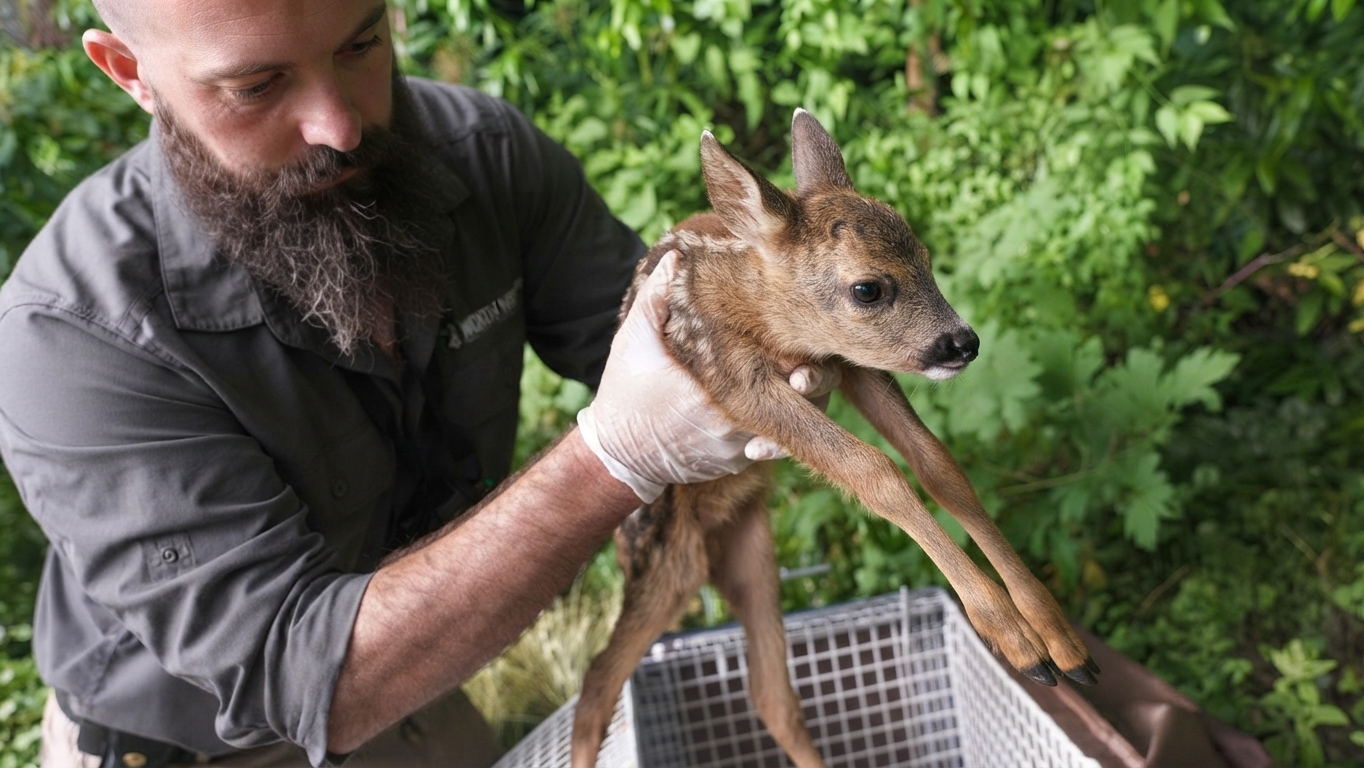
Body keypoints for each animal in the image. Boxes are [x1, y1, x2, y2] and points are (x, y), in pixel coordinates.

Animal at [570, 109, 1099, 768]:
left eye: (926, 257)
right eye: (867, 288)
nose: (962, 343)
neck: (752, 308)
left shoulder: (847, 363)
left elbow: (937, 464)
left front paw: (1061, 643)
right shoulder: (732, 379)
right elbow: (876, 470)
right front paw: (1016, 641)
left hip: (751, 551)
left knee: (770, 690)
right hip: (665, 562)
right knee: (597, 678)